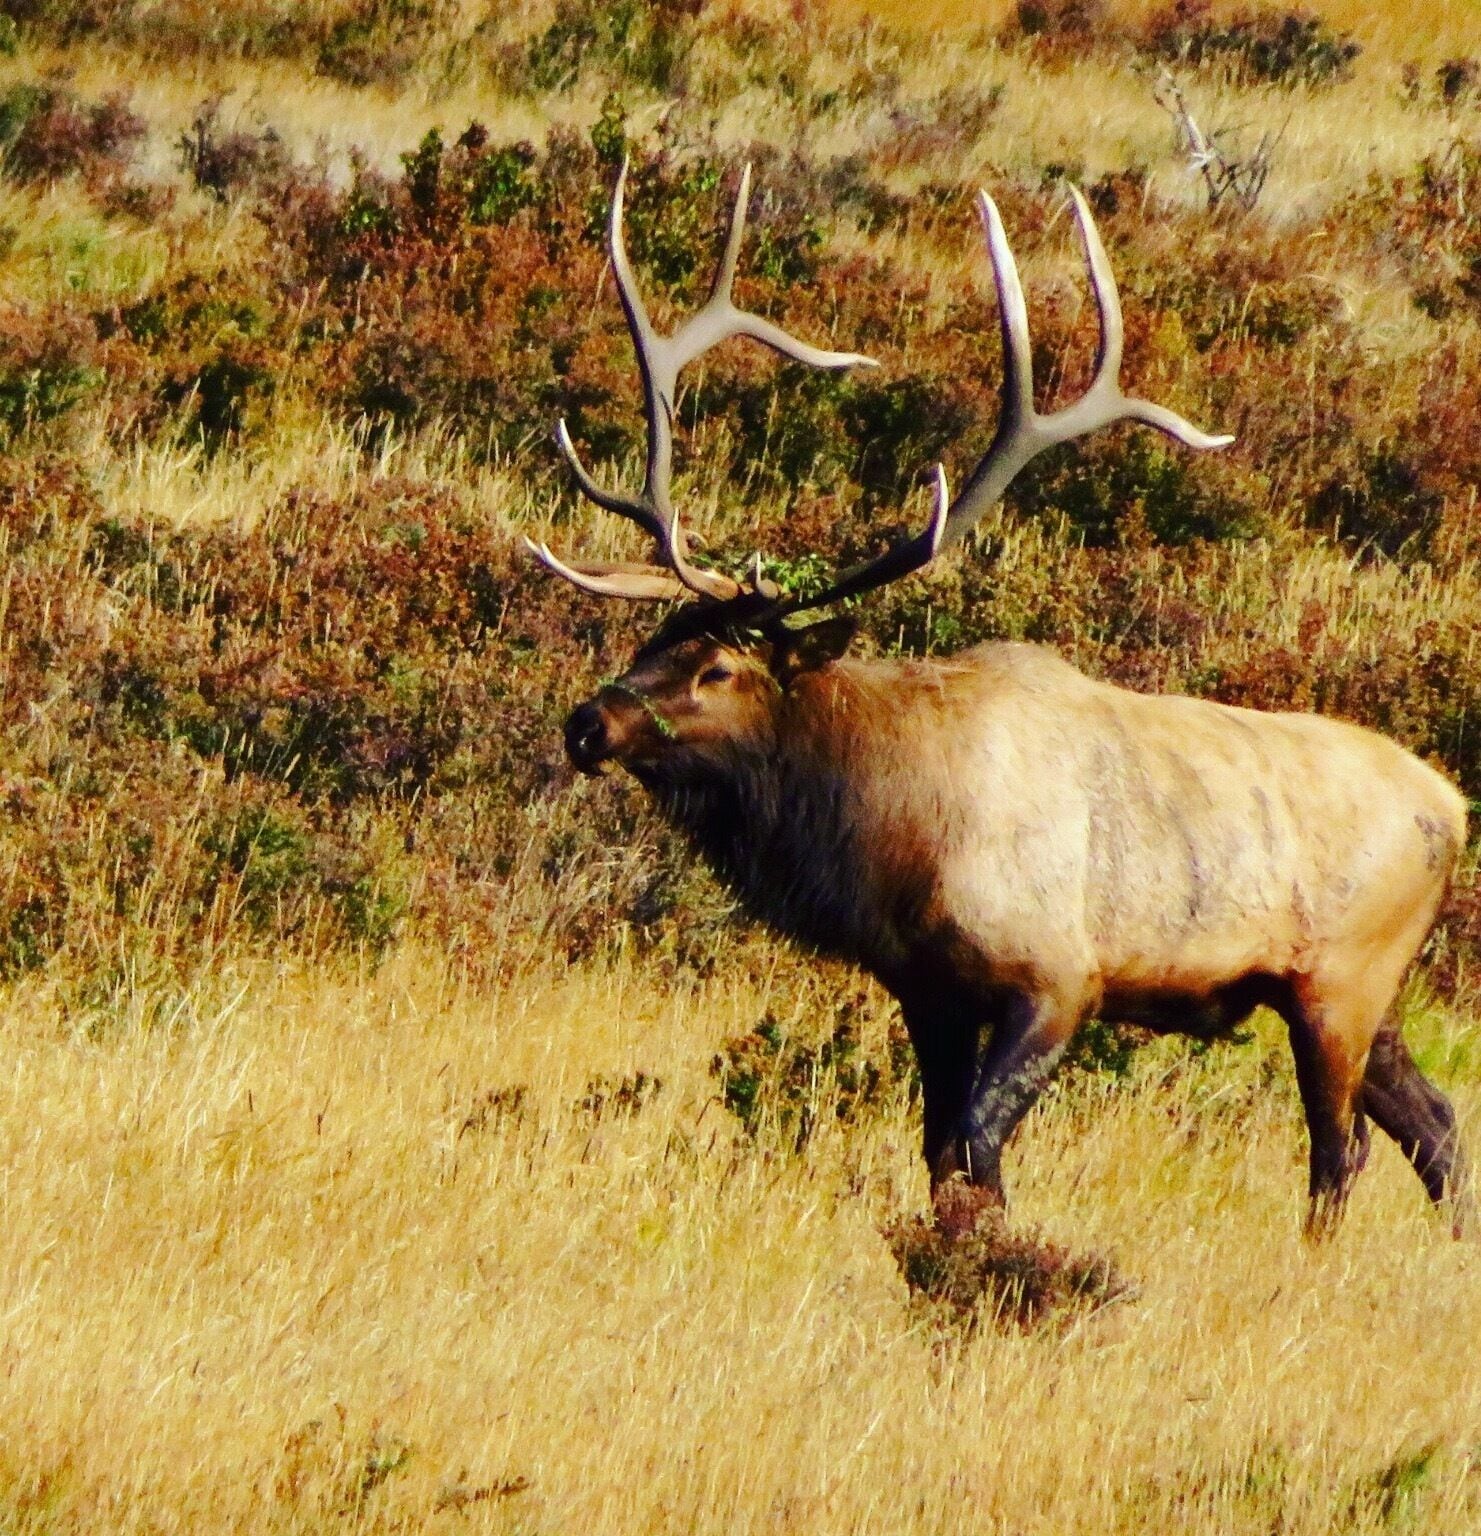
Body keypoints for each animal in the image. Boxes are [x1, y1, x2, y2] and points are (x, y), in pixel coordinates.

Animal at [527, 161, 1473, 1241]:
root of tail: (1453, 808)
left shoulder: (1057, 975)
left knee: (1340, 1147)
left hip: (1342, 978)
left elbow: (979, 1148)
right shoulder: (927, 988)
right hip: (1365, 991)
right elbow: (940, 1151)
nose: (587, 723)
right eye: (650, 639)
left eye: (718, 669)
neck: (891, 831)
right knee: (1434, 1121)